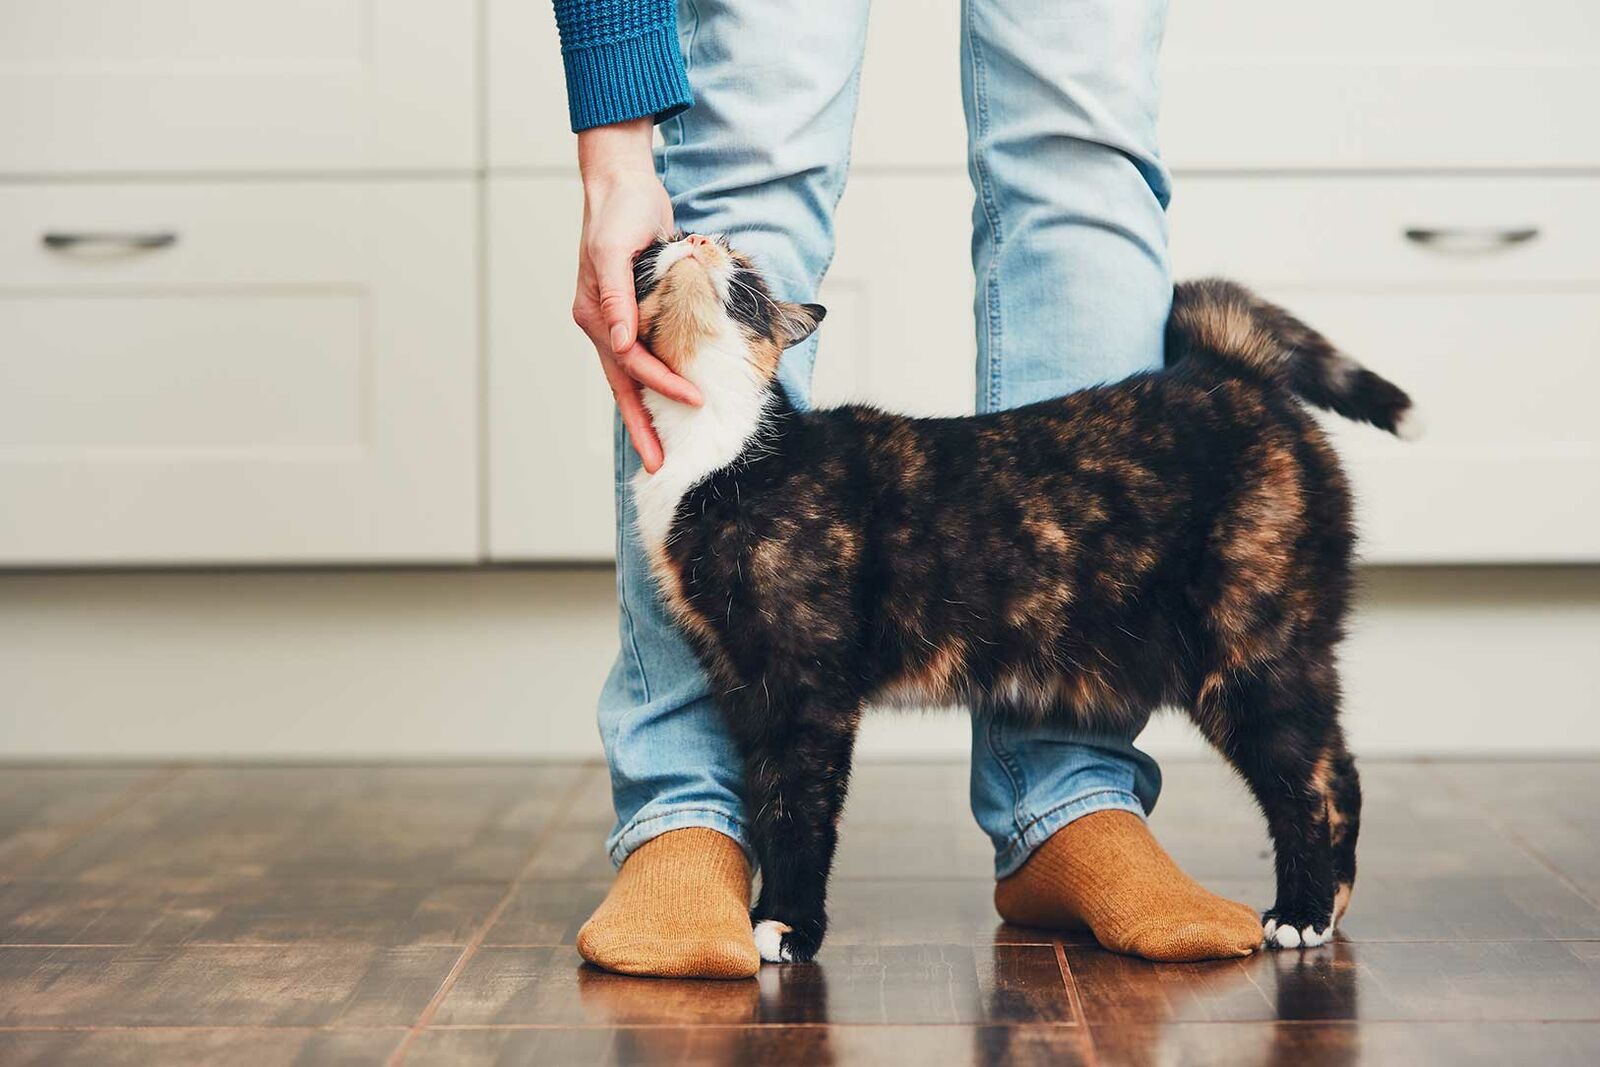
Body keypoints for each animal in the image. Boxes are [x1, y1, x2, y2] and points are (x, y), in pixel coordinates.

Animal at [624, 230, 1414, 966]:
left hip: (1251, 652)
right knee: (1335, 768)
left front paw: (789, 924)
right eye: (662, 245)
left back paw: (1302, 912)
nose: (696, 238)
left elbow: (800, 810)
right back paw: (1329, 905)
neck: (718, 450)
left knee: (1308, 782)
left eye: (744, 269)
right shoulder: (744, 683)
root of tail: (1227, 370)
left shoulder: (808, 687)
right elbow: (766, 801)